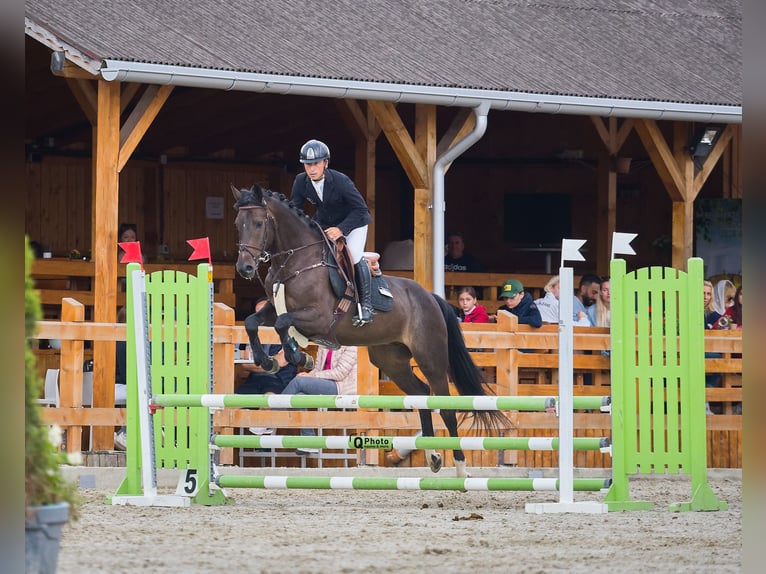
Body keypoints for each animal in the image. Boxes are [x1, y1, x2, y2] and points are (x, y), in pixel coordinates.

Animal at [234, 183, 510, 476]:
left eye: (259, 222)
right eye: (238, 224)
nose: (245, 268)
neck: (296, 261)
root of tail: (431, 297)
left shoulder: (319, 318)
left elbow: (282, 323)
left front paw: (299, 356)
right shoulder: (273, 308)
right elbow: (253, 322)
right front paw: (268, 361)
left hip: (430, 356)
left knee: (444, 406)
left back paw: (459, 467)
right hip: (390, 359)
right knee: (421, 393)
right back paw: (433, 456)